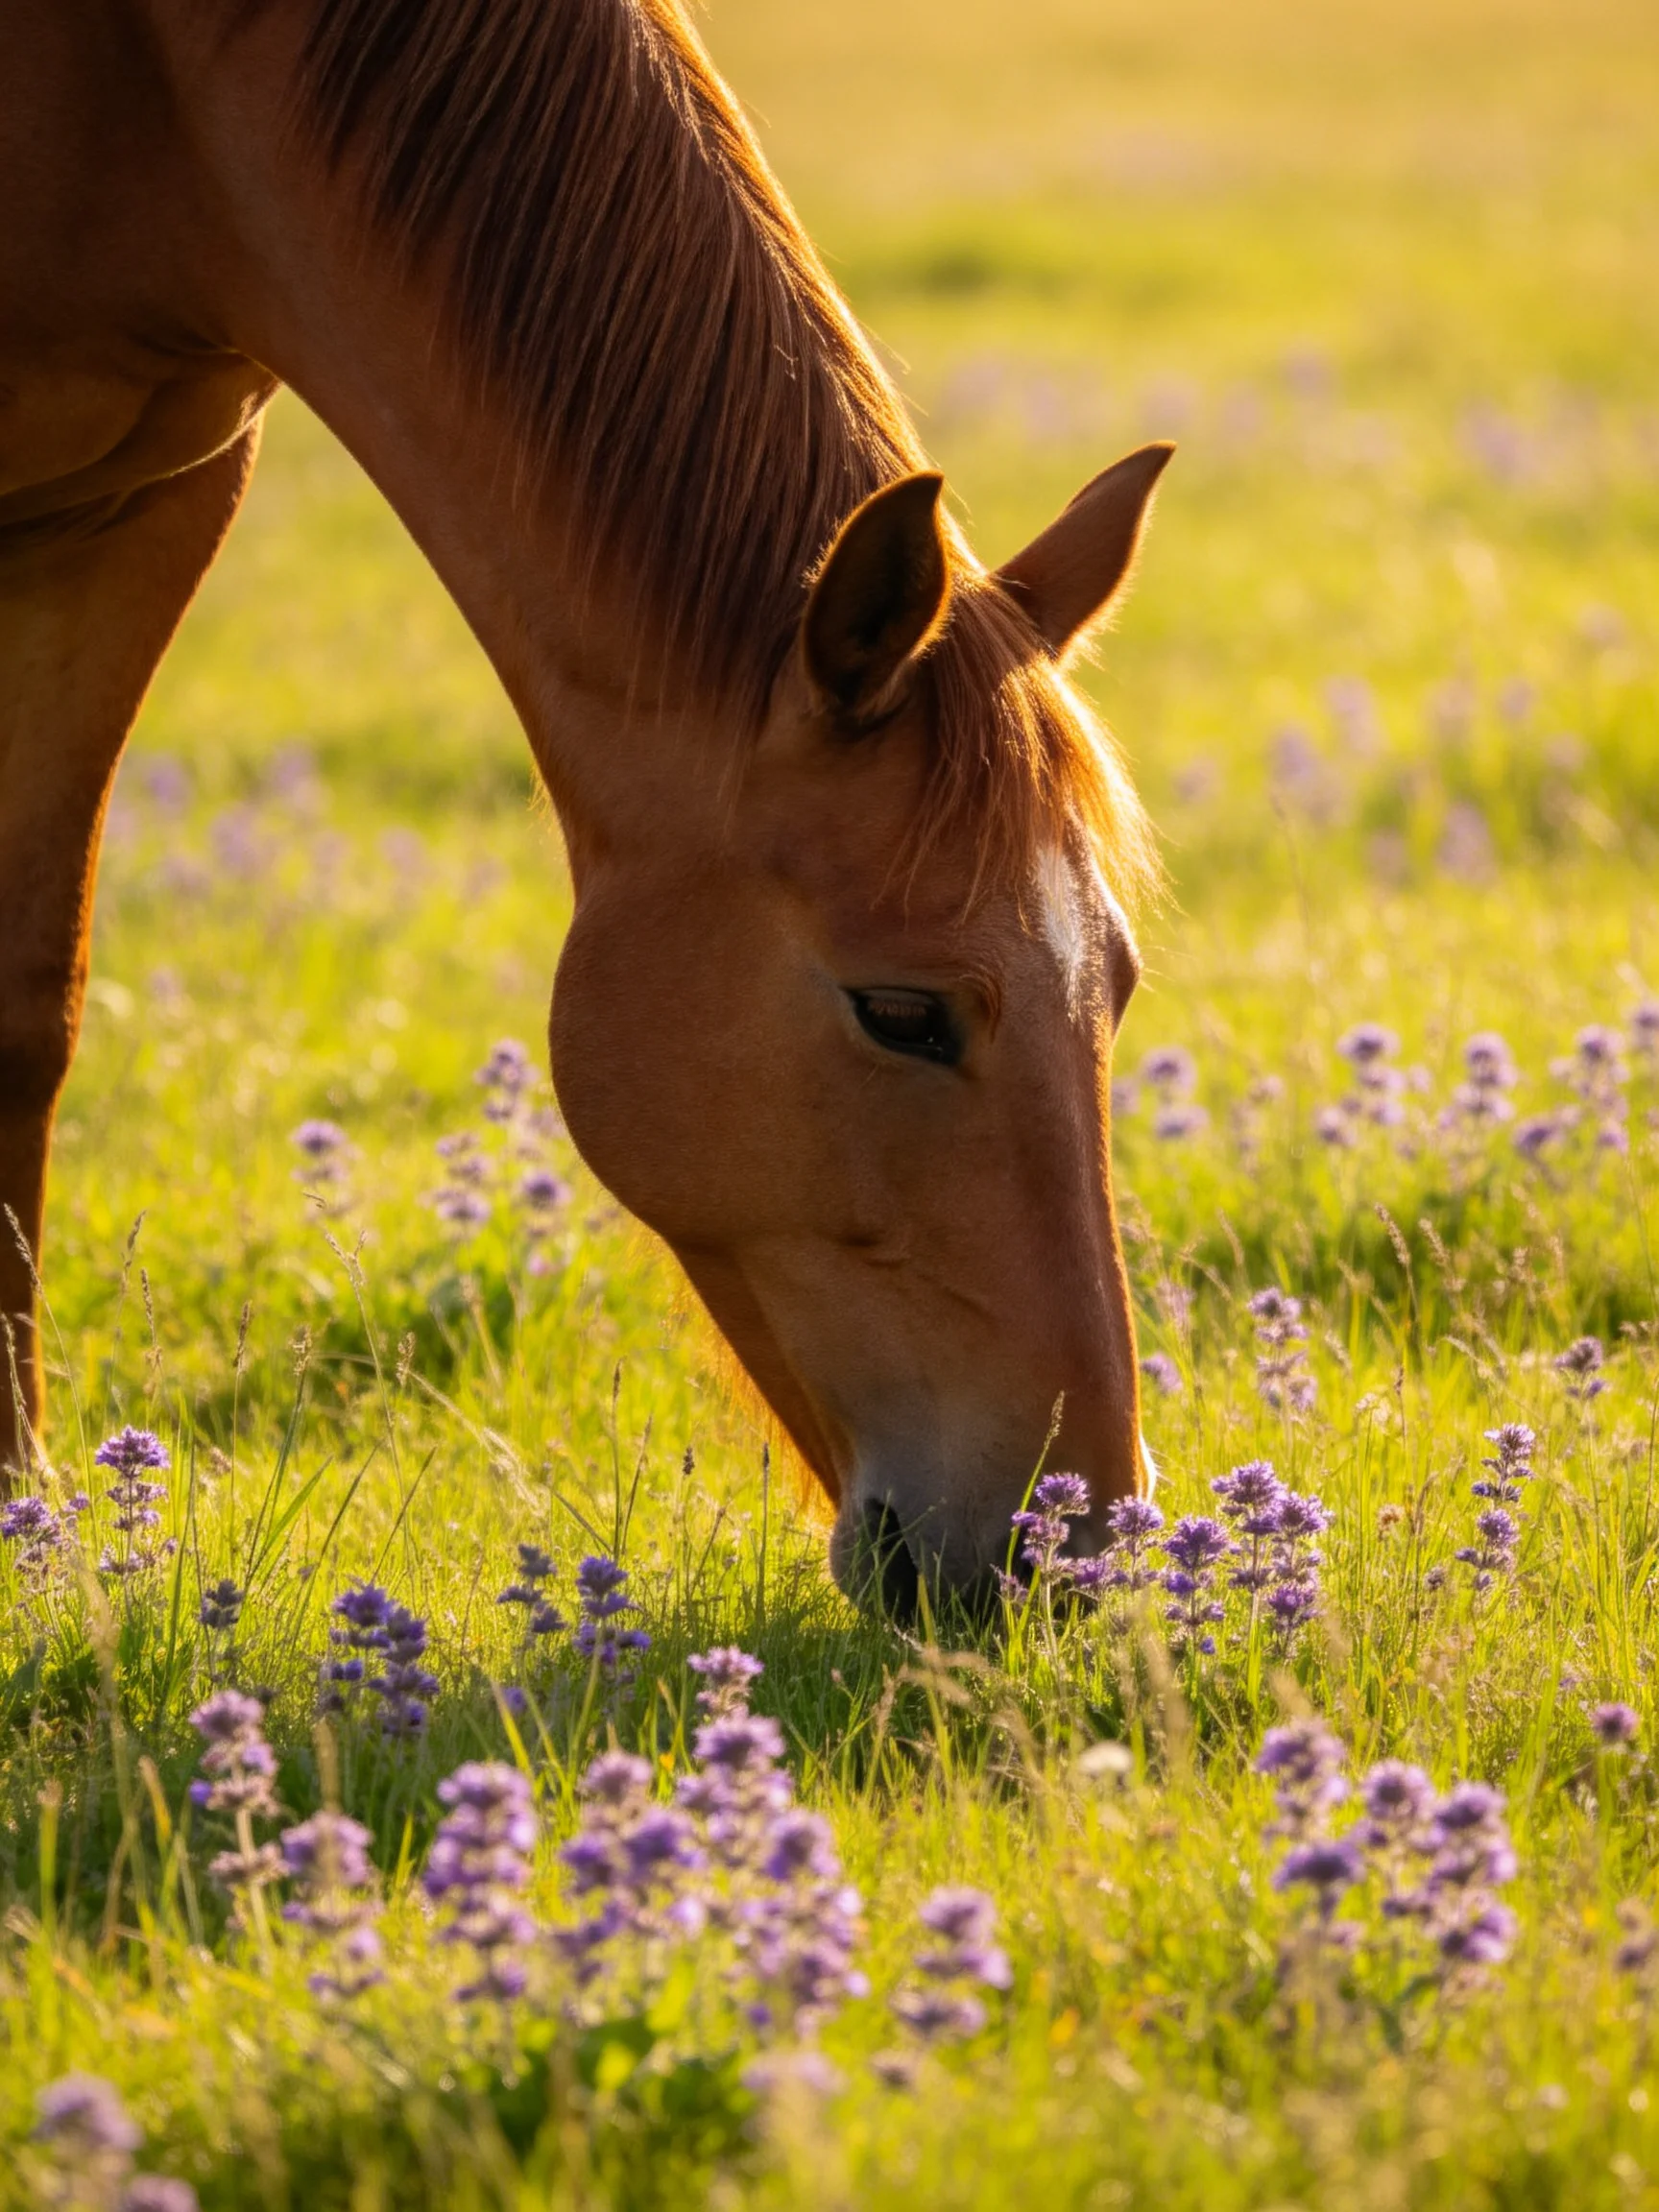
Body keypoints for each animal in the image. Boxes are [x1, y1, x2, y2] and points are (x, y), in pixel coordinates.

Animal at [1, 0, 1172, 1602]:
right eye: (901, 1012)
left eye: (1116, 984)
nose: (1072, 1551)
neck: (155, 78)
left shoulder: (144, 499)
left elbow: (28, 1015)